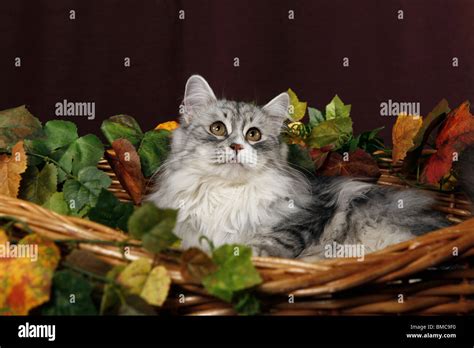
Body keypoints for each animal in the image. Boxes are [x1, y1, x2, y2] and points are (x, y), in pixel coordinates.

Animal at [146, 74, 472, 258]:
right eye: (217, 129)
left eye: (253, 135)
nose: (237, 146)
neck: (227, 193)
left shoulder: (302, 220)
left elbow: (264, 247)